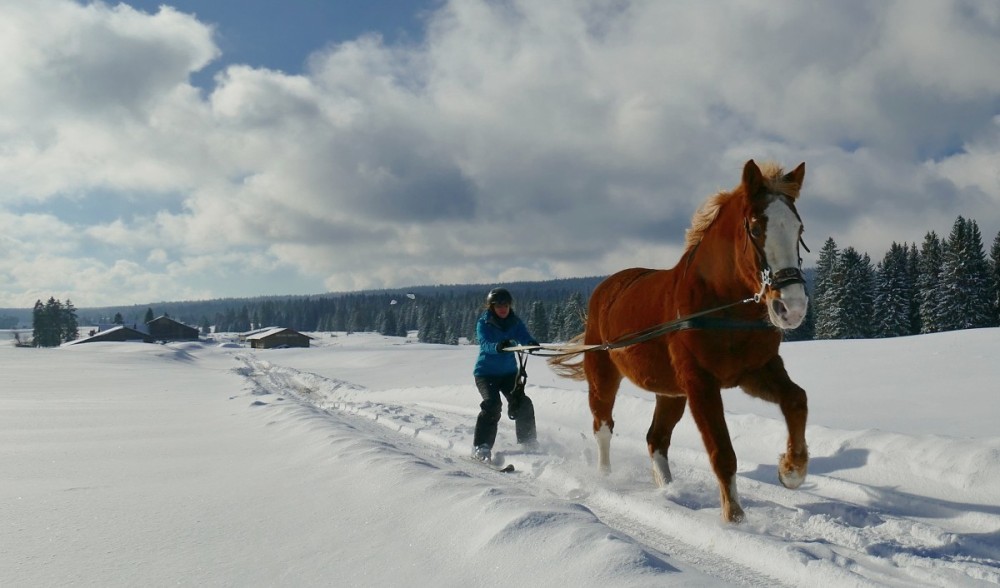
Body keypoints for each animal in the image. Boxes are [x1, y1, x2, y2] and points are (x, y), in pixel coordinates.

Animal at [552, 161, 808, 524]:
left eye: (799, 229)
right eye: (757, 229)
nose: (792, 307)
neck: (721, 306)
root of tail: (606, 287)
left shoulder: (756, 371)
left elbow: (797, 399)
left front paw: (791, 470)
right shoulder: (701, 382)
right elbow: (722, 451)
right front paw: (734, 517)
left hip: (670, 392)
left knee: (656, 438)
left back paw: (668, 490)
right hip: (603, 376)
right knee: (603, 426)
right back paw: (605, 476)